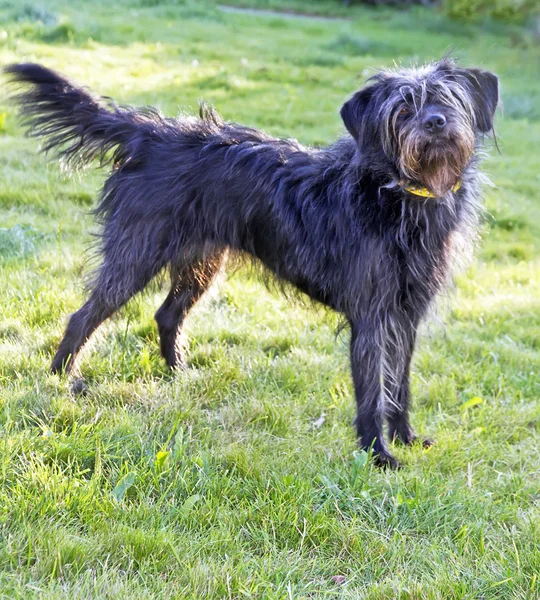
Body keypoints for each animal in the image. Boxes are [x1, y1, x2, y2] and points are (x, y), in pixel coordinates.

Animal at [6, 58, 500, 466]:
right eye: (403, 109)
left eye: (448, 99)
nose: (435, 122)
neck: (399, 192)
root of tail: (152, 133)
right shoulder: (371, 316)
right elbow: (371, 393)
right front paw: (377, 454)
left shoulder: (406, 315)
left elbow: (399, 385)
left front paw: (404, 438)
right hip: (136, 255)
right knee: (83, 316)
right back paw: (60, 381)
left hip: (202, 264)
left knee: (167, 314)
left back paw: (179, 373)